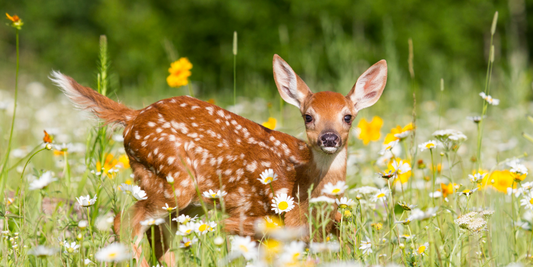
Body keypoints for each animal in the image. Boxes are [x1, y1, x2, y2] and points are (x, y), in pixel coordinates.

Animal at [50, 54, 384, 266]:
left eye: (348, 116)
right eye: (308, 116)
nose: (330, 138)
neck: (302, 185)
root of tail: (133, 117)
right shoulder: (251, 220)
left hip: (179, 198)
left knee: (159, 234)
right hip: (173, 179)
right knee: (126, 221)